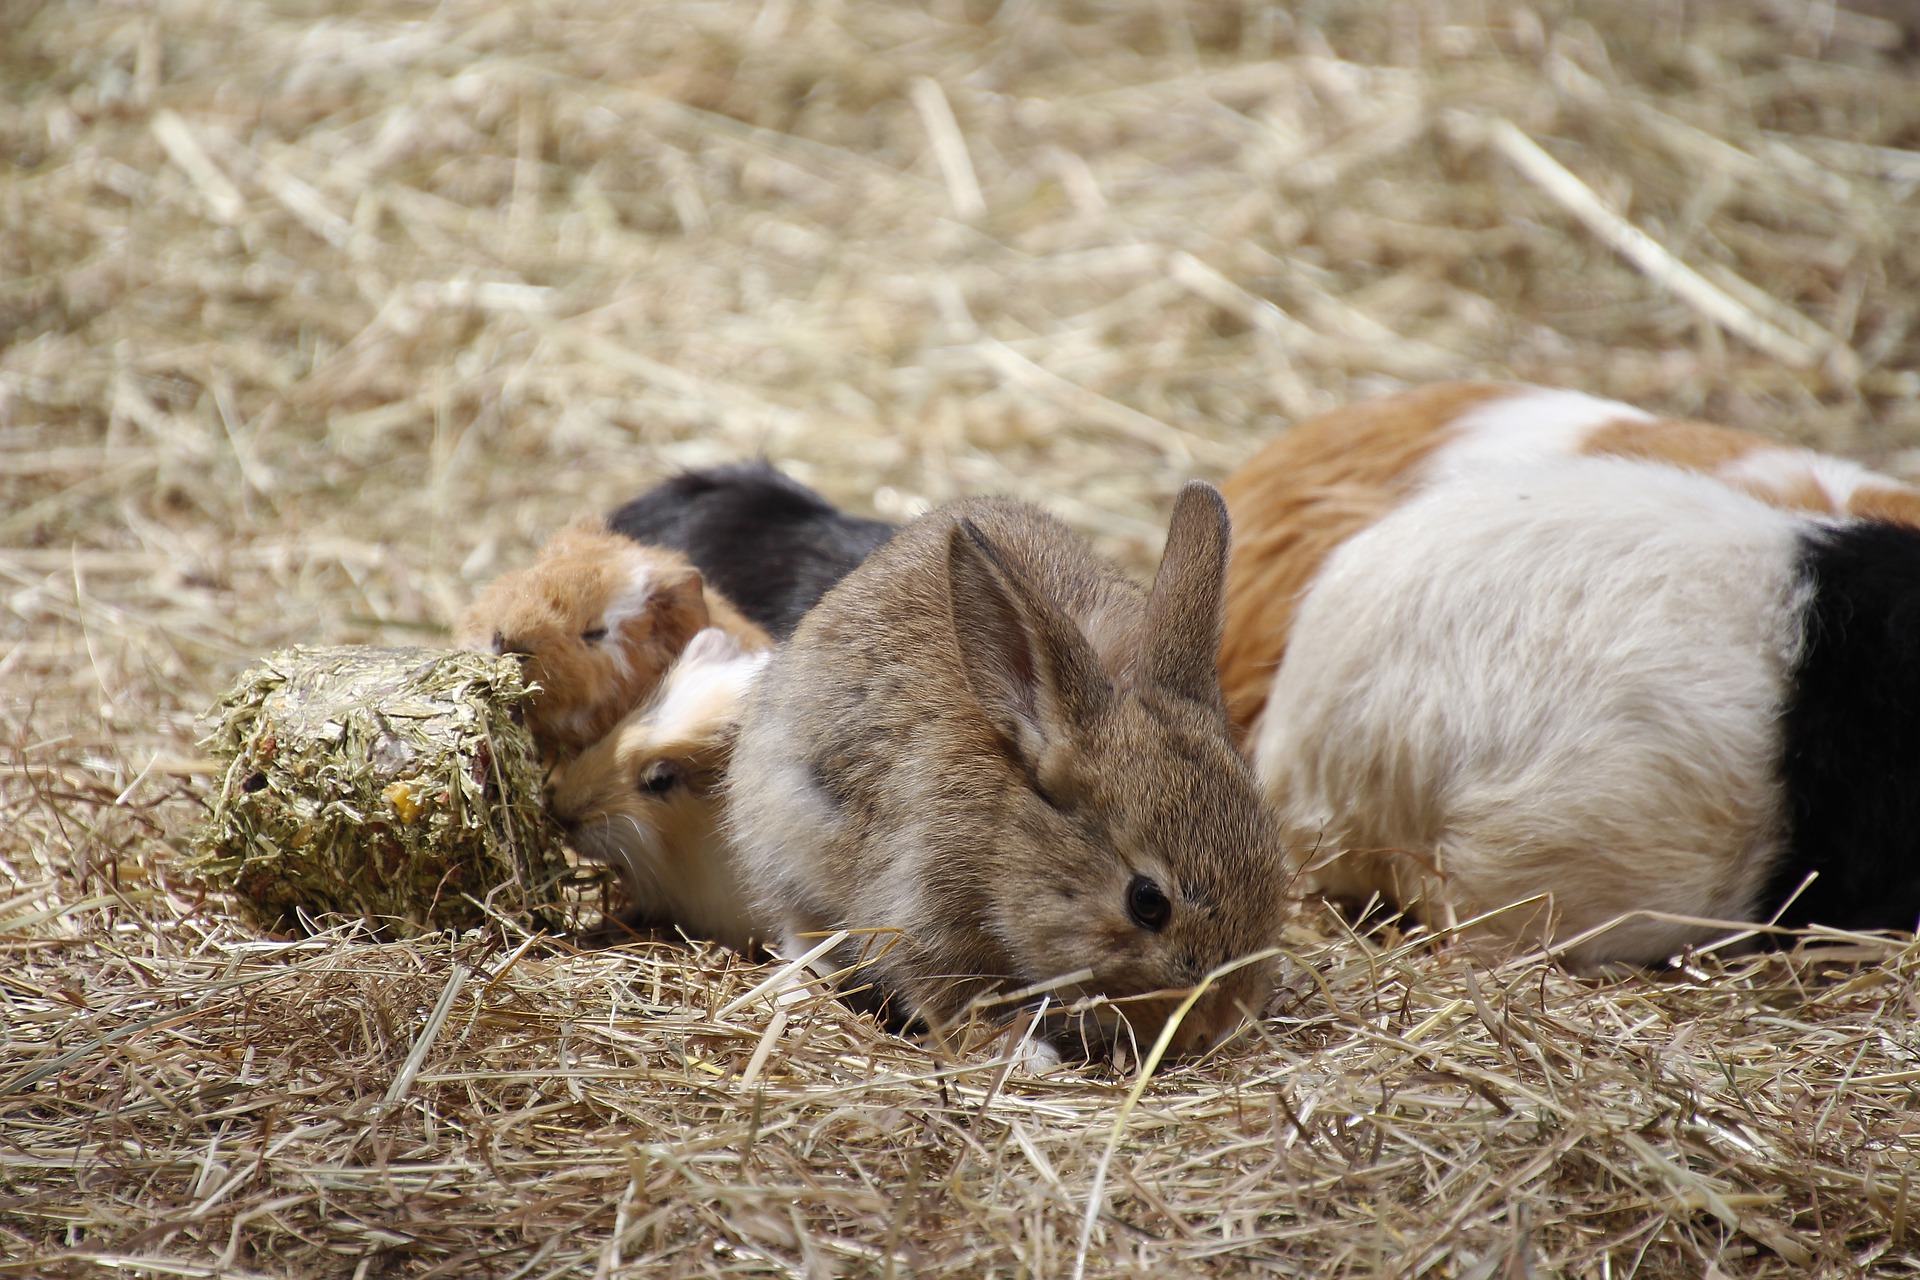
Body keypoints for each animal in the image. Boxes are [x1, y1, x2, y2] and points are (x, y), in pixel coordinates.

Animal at [725, 479, 1297, 1059]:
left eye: (1276, 869)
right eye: (1147, 902)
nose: (1216, 1026)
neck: (1009, 827)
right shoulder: (921, 916)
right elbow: (959, 1003)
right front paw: (1028, 1056)